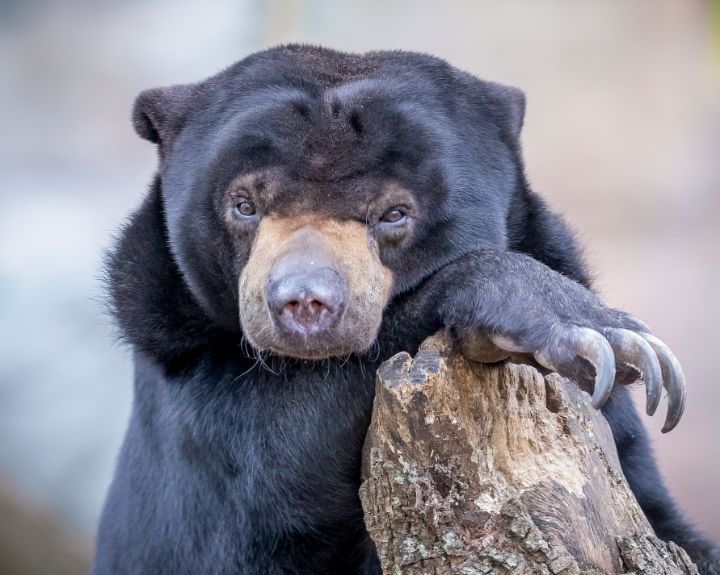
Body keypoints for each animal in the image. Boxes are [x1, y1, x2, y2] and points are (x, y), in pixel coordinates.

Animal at [93, 45, 719, 574]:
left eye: (394, 212)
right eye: (244, 204)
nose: (303, 301)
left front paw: (623, 348)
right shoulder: (181, 379)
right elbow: (270, 465)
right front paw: (594, 335)